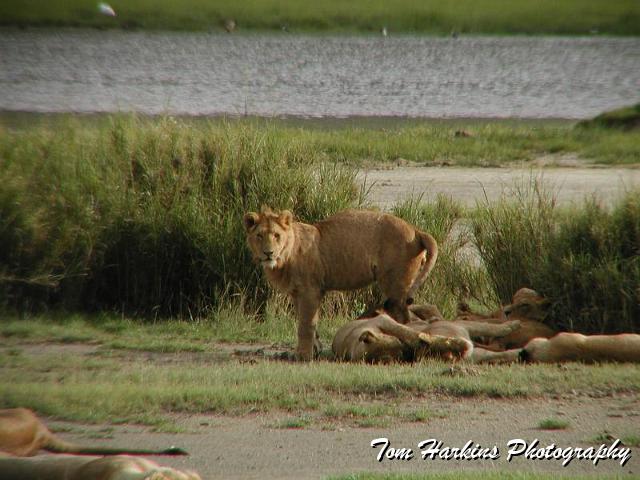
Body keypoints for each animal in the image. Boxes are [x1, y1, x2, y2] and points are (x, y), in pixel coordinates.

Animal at [243, 207, 438, 360]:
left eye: (277, 235)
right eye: (259, 236)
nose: (268, 253)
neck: (286, 256)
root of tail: (415, 229)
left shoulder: (310, 291)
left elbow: (306, 325)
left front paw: (304, 356)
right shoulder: (297, 293)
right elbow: (307, 322)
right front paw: (314, 349)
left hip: (395, 287)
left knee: (404, 317)